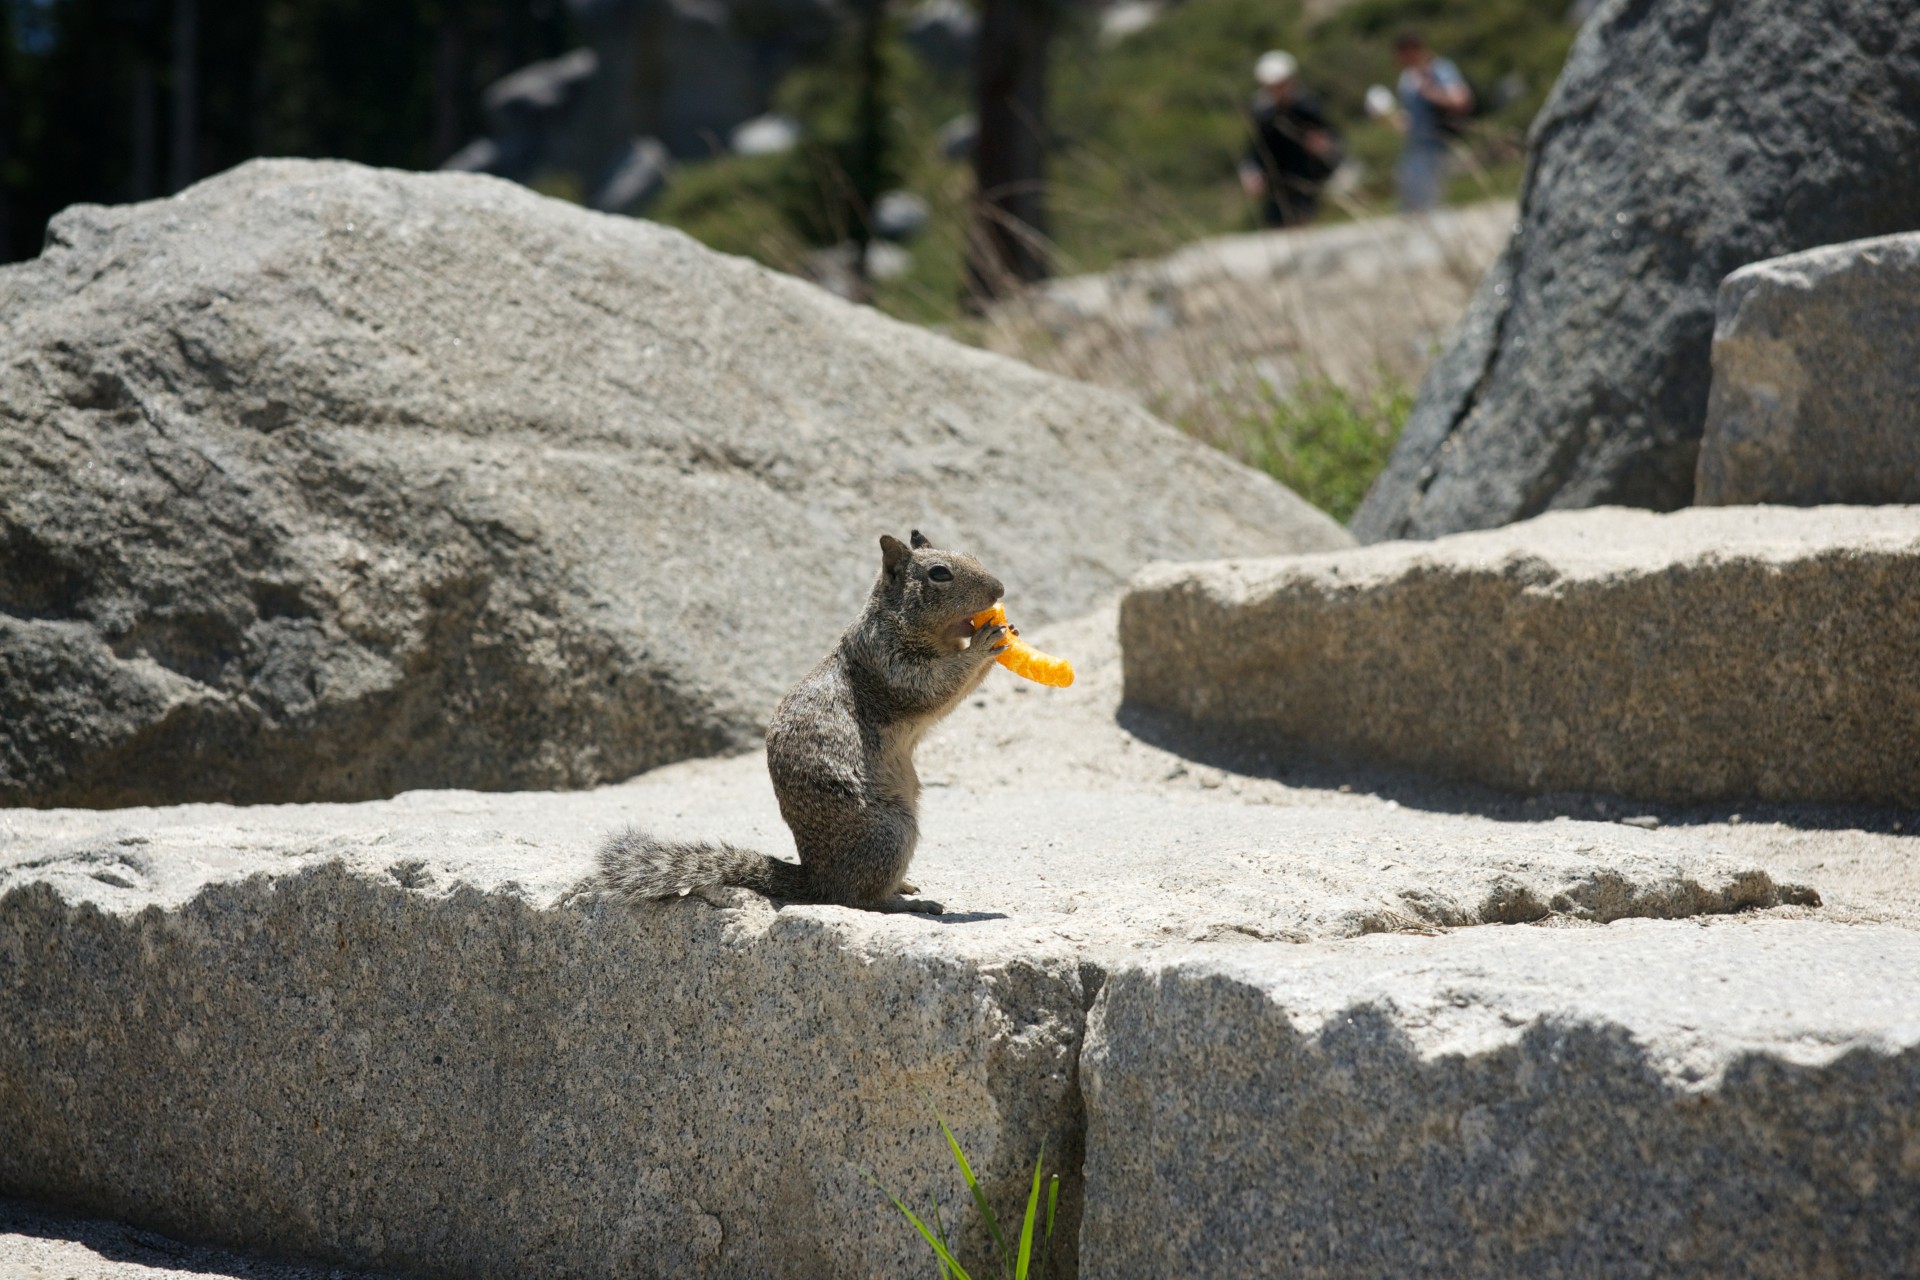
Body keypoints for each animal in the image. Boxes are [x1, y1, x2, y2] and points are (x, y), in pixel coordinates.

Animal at [595, 529, 1013, 909]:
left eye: (970, 555)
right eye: (939, 573)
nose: (1000, 589)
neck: (894, 621)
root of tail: (816, 881)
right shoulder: (891, 666)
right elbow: (939, 685)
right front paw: (983, 644)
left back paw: (905, 886)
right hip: (892, 833)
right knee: (859, 899)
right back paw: (906, 902)